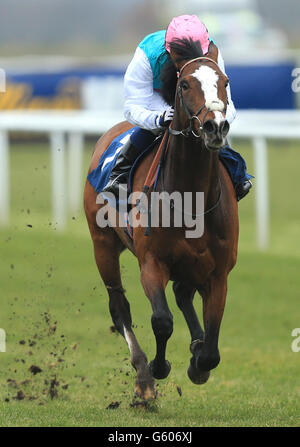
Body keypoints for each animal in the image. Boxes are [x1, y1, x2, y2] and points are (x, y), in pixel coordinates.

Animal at [83, 40, 238, 400]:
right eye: (185, 84)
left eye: (224, 82)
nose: (215, 127)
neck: (191, 196)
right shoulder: (152, 262)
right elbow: (162, 321)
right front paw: (159, 367)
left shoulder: (218, 272)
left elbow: (211, 350)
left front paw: (198, 361)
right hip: (102, 245)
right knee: (119, 306)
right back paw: (143, 377)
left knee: (182, 291)